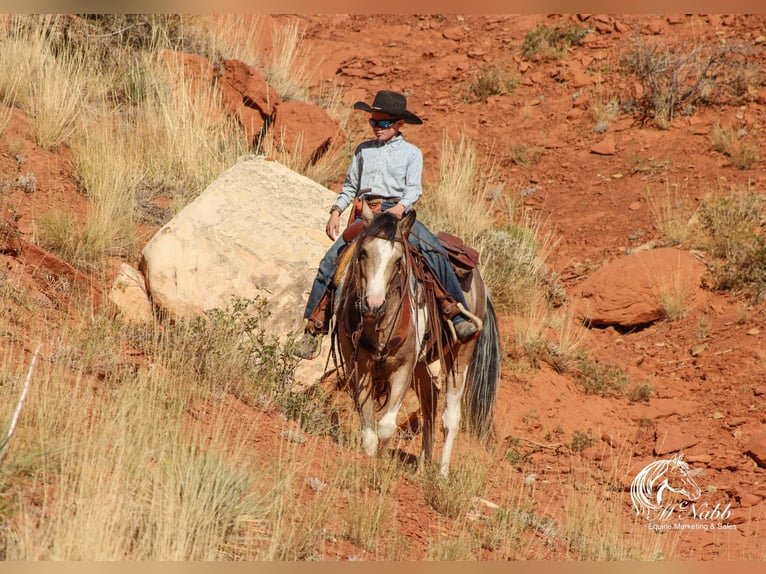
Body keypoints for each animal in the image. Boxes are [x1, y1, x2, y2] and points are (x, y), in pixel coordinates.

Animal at [332, 202, 500, 476]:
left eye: (398, 260)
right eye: (364, 252)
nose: (373, 304)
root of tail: (481, 284)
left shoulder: (403, 368)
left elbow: (386, 426)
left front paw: (382, 463)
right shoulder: (359, 366)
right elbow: (368, 430)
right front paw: (370, 459)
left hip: (460, 356)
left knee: (450, 417)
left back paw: (441, 473)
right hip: (423, 364)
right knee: (430, 403)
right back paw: (423, 465)